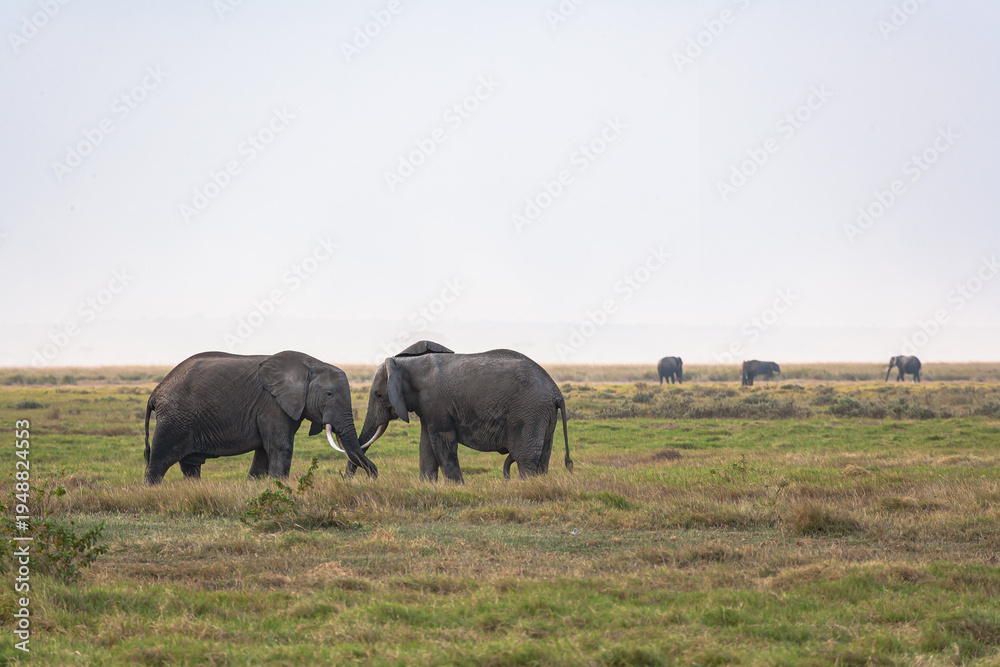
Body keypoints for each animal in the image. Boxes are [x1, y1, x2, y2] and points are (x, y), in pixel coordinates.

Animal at [143, 351, 377, 485]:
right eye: (329, 394)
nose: (373, 477)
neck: (312, 364)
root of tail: (155, 391)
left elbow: (265, 450)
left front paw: (254, 485)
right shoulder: (272, 403)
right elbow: (280, 446)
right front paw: (279, 486)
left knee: (190, 465)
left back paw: (195, 488)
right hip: (175, 417)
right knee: (160, 459)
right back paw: (151, 489)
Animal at [347, 340, 572, 483]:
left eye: (378, 395)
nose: (348, 479)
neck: (407, 364)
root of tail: (556, 390)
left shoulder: (435, 402)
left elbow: (442, 442)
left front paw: (456, 486)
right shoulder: (427, 407)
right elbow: (426, 445)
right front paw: (428, 486)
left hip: (529, 413)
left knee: (525, 458)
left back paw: (526, 486)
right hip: (544, 414)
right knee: (543, 456)